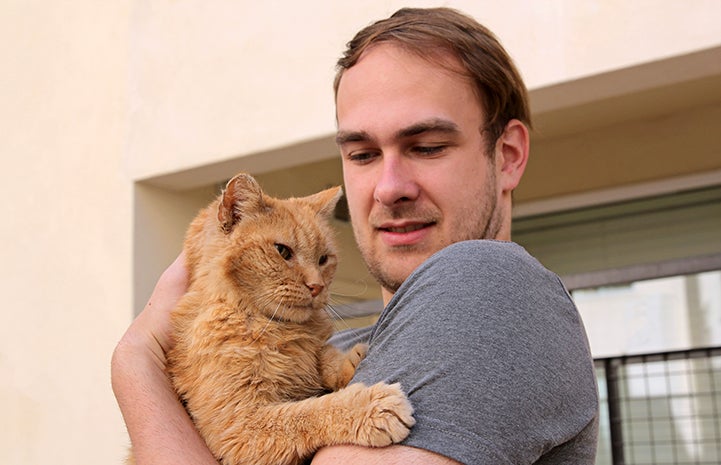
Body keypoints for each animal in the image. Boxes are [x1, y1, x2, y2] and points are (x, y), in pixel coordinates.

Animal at [128, 173, 410, 464]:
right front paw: (370, 406)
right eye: (282, 251)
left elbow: (323, 355)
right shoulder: (240, 429)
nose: (317, 286)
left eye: (323, 259)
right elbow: (305, 413)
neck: (270, 326)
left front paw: (348, 361)